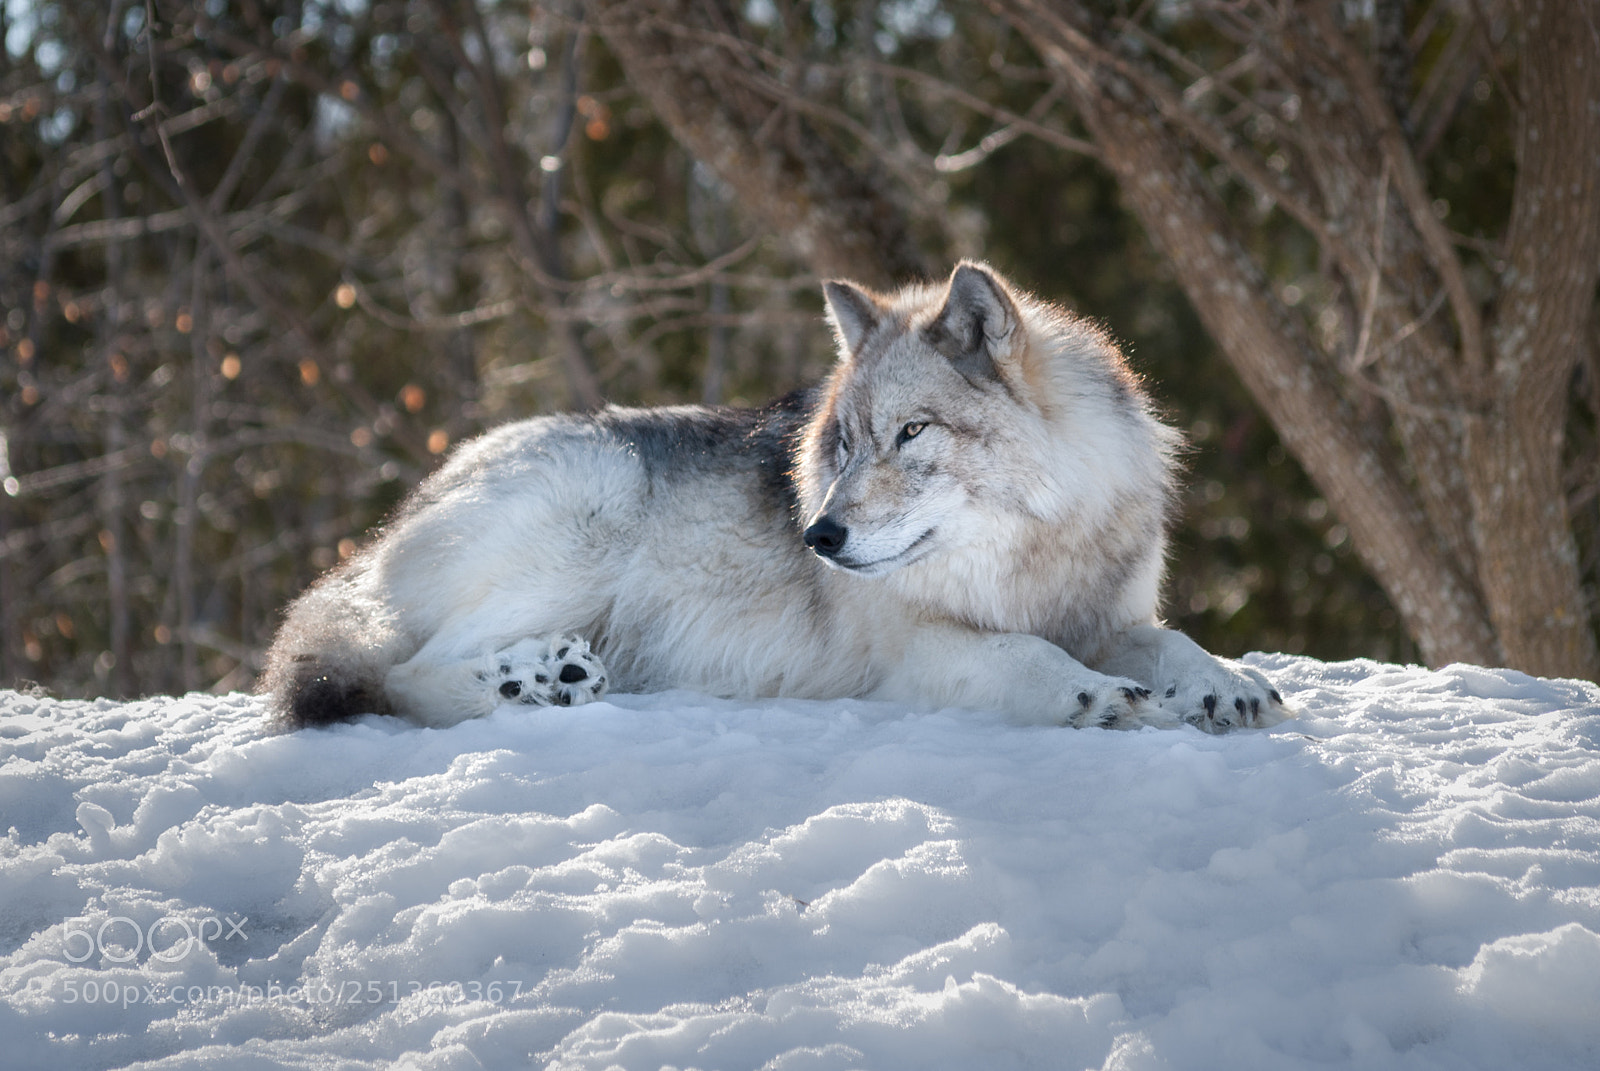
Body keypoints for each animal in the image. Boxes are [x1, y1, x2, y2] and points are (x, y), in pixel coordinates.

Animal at [261, 262, 1286, 734]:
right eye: (846, 443)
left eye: (911, 433)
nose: (818, 535)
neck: (1035, 548)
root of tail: (395, 519)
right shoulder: (914, 653)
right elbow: (1030, 659)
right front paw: (1099, 698)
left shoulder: (1105, 611)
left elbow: (1173, 640)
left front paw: (1226, 684)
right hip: (588, 517)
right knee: (403, 674)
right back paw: (527, 681)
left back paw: (552, 676)